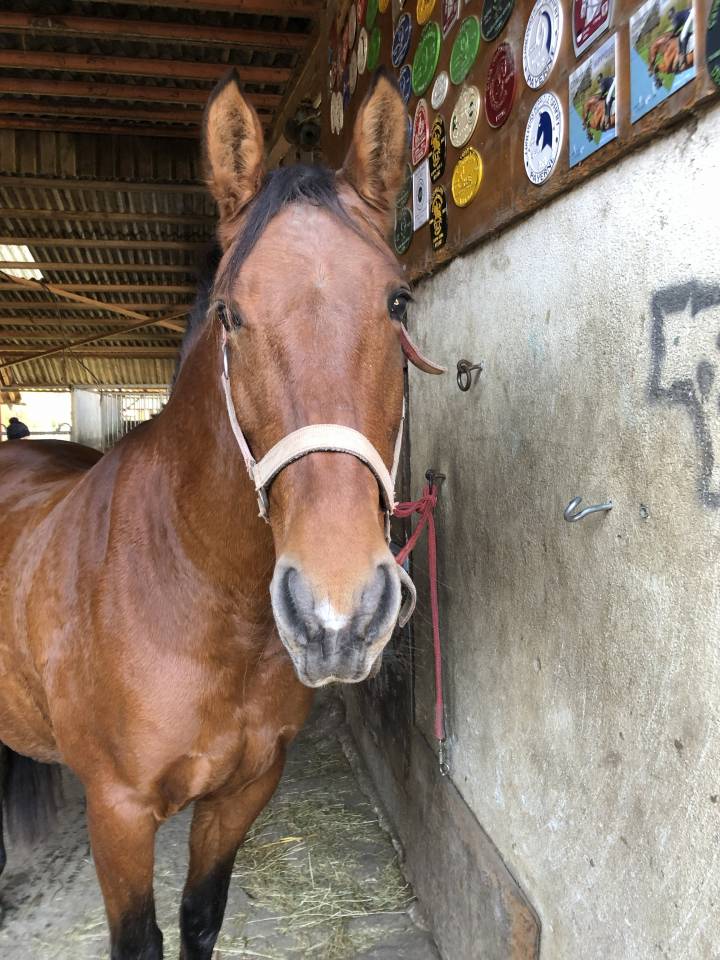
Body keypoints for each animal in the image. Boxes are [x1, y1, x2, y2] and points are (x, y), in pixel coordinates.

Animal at [0, 69, 443, 959]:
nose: (338, 615)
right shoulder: (119, 815)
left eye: (399, 303)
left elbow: (201, 916)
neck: (196, 591)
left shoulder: (243, 791)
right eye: (231, 314)